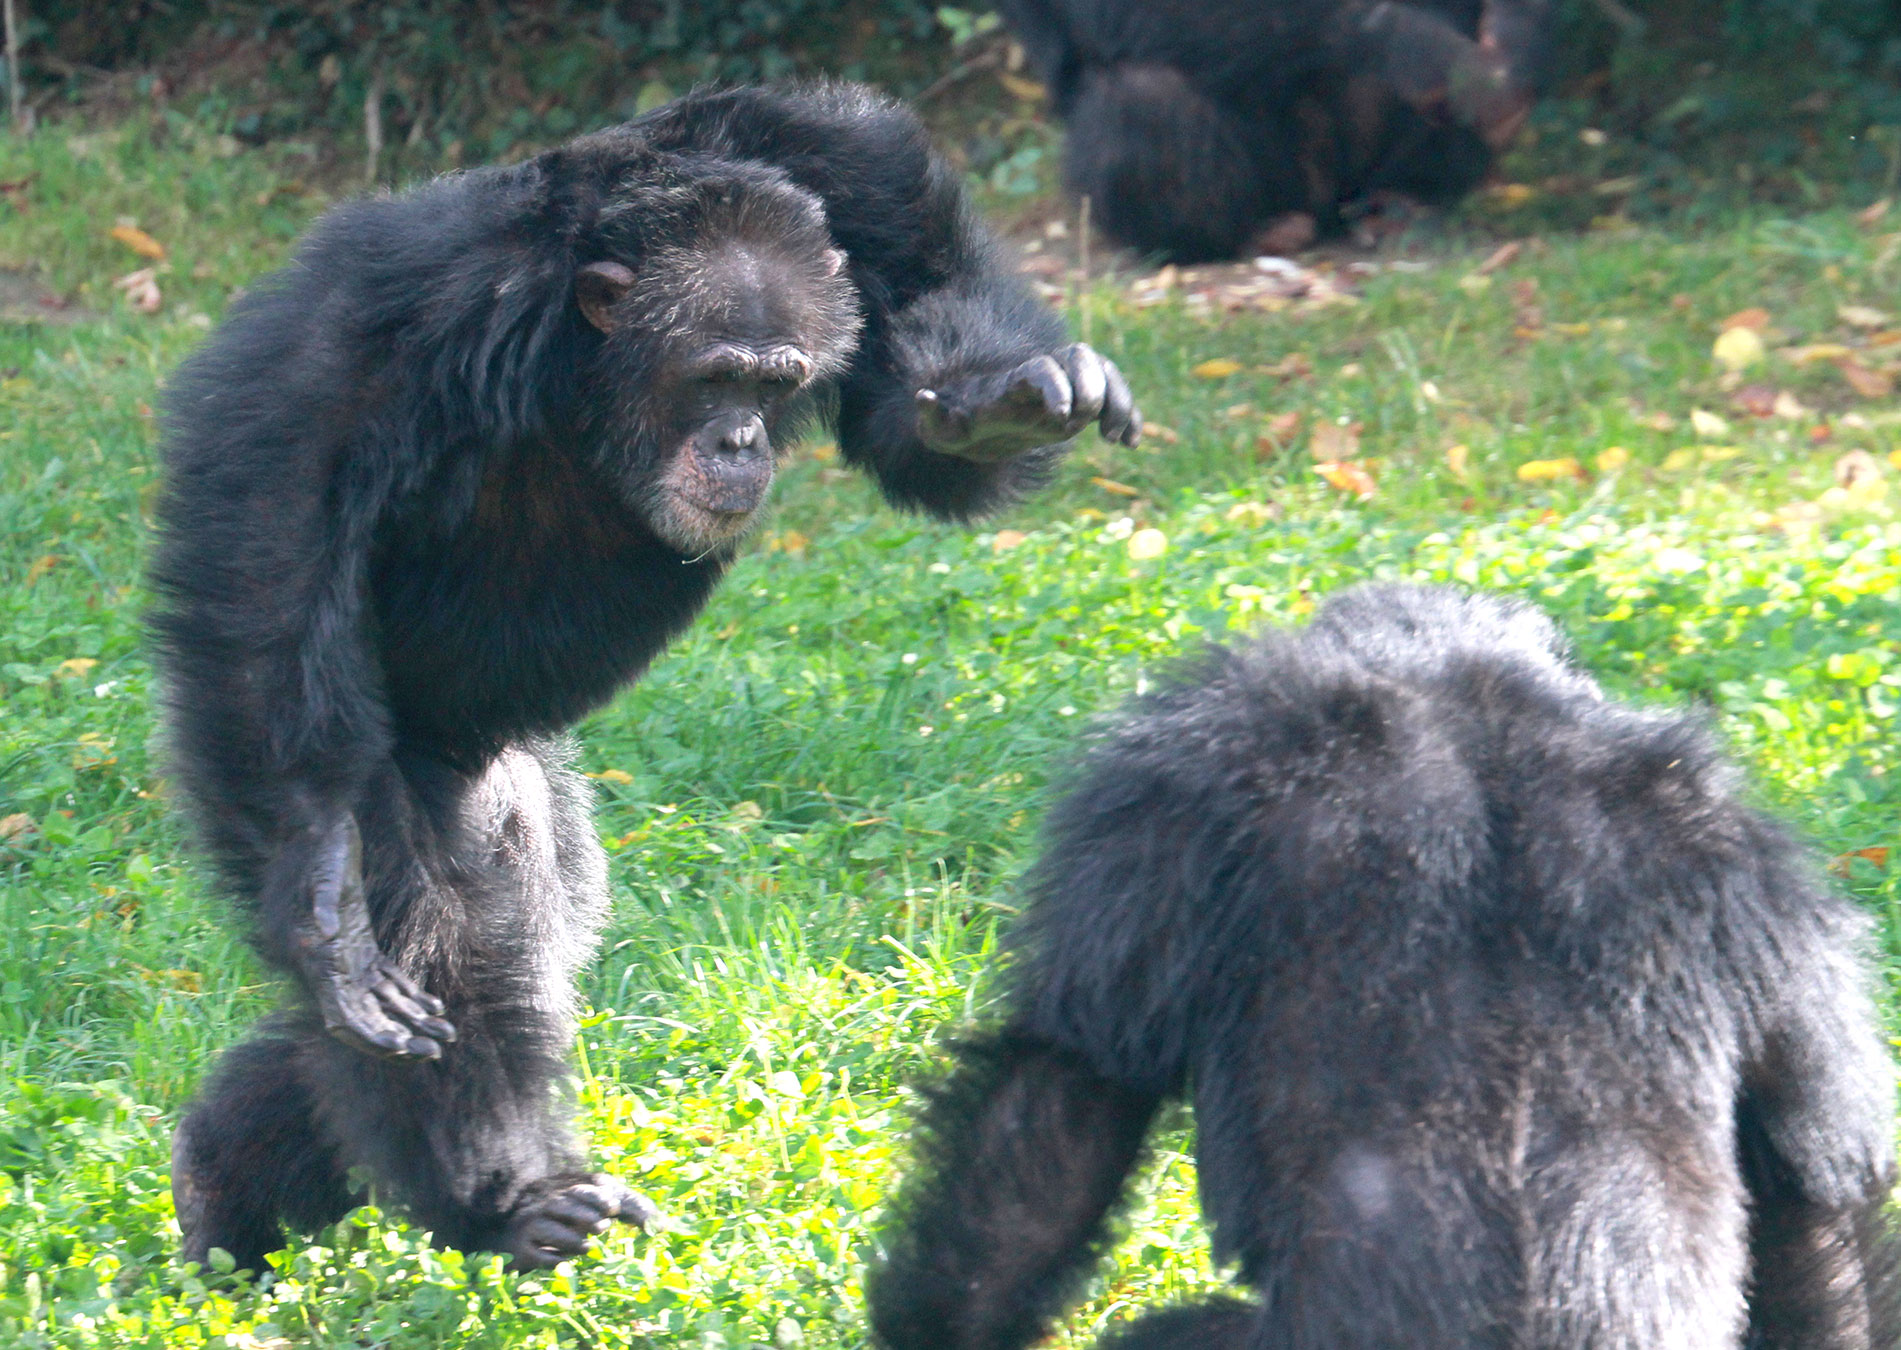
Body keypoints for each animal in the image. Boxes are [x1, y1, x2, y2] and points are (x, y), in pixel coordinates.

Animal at [152, 81, 1140, 1277]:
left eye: (775, 378)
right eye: (713, 374)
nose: (742, 438)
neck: (577, 362)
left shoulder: (826, 183)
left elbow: (906, 355)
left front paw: (992, 397)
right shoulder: (390, 317)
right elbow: (279, 514)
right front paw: (321, 888)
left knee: (533, 921)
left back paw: (229, 1179)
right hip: (338, 745)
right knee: (436, 924)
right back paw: (502, 1200)